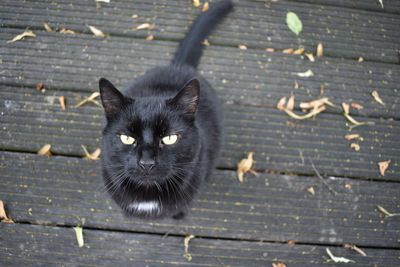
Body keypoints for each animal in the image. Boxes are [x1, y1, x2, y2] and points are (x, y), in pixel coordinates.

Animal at [98, 0, 233, 220]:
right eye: (127, 138)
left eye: (170, 138)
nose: (146, 162)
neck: (148, 198)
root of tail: (179, 66)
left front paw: (178, 215)